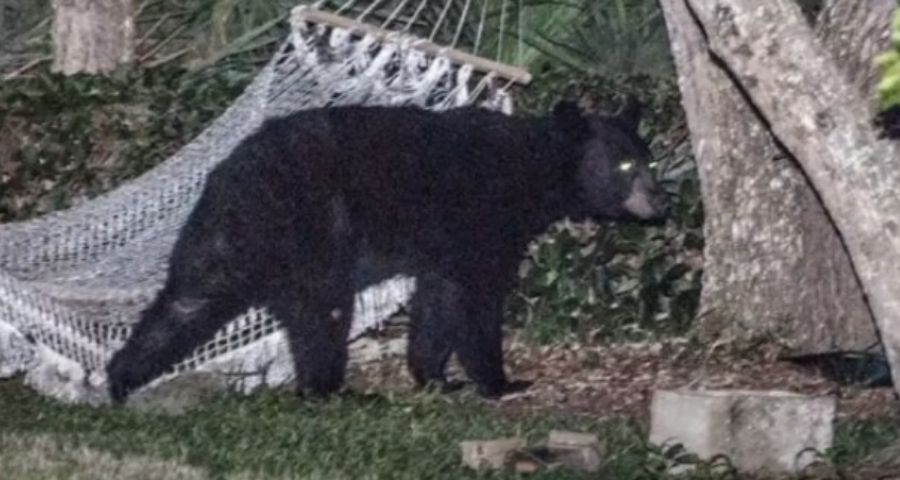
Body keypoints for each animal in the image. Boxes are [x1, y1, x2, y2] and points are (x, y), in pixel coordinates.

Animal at [105, 98, 668, 402]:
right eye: (623, 165)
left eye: (649, 159)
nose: (660, 200)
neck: (533, 168)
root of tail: (233, 175)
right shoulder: (482, 224)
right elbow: (478, 302)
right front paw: (501, 382)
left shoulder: (447, 249)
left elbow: (438, 301)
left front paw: (434, 377)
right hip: (314, 234)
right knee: (323, 315)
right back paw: (336, 391)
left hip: (219, 240)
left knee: (184, 303)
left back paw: (118, 382)